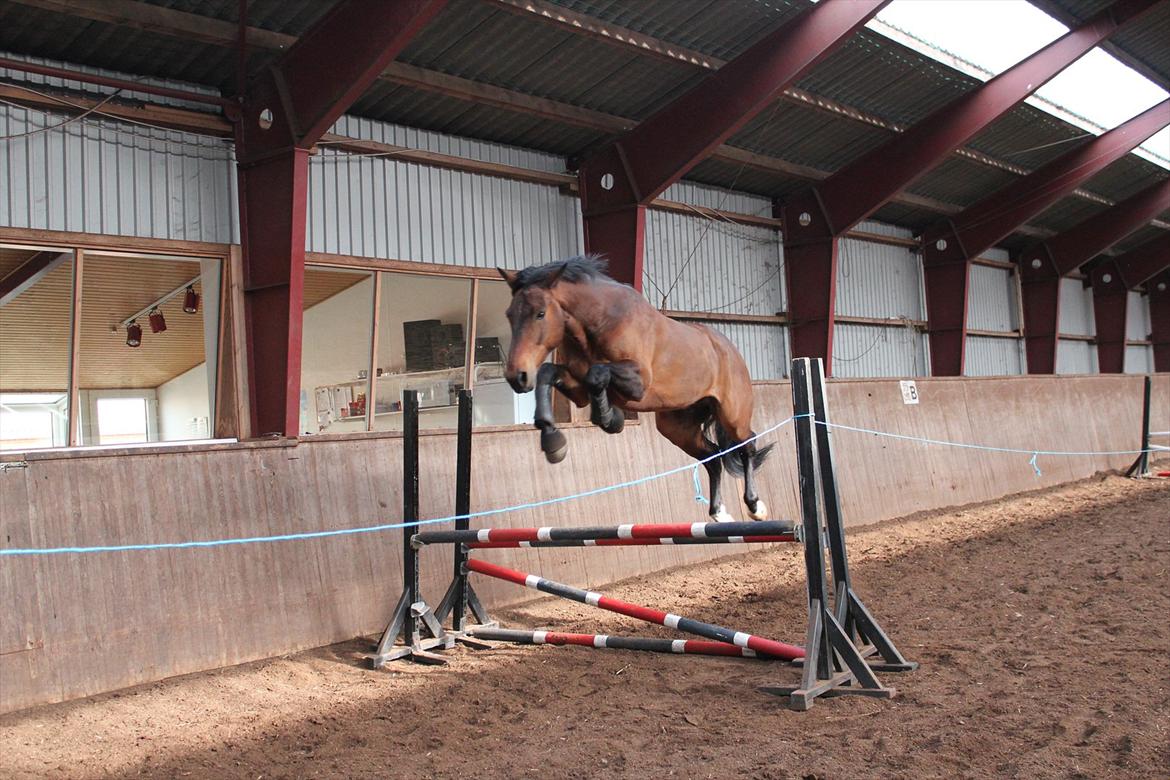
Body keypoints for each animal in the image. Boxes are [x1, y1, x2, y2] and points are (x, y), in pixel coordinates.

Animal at [498, 257, 772, 523]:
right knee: (713, 457)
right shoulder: (577, 389)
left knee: (747, 444)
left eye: (540, 313)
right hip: (676, 426)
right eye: (509, 315)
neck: (599, 322)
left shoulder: (638, 383)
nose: (517, 376)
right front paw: (553, 440)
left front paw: (608, 418)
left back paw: (755, 506)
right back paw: (719, 512)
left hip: (732, 414)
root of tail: (729, 349)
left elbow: (597, 373)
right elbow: (550, 373)